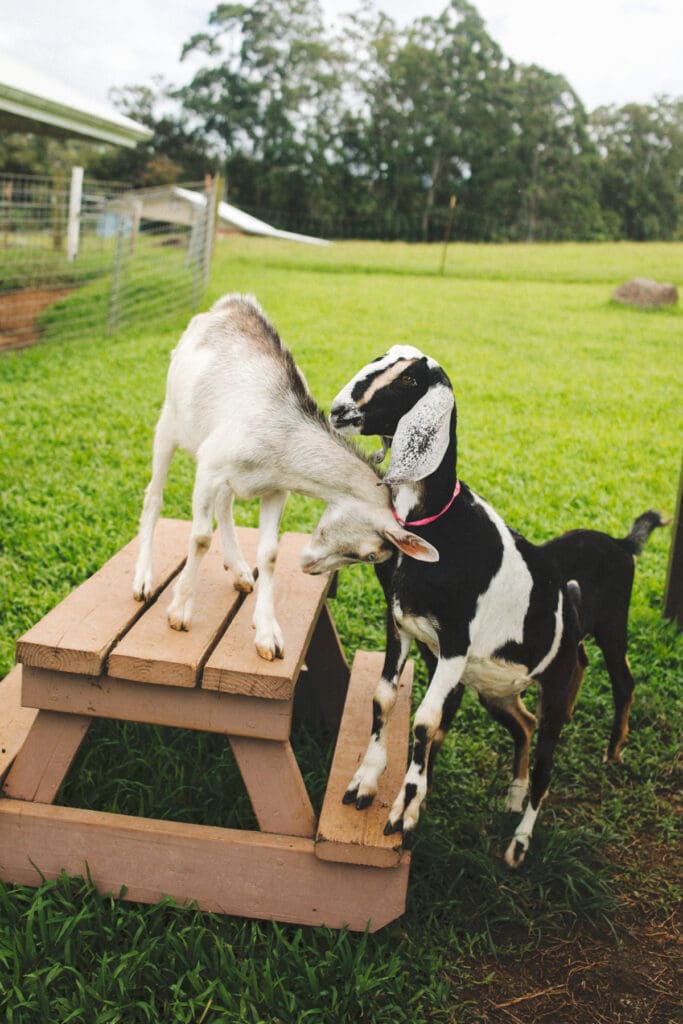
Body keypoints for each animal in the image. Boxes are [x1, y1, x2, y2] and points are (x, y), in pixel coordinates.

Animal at [133, 296, 437, 660]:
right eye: (370, 555)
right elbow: (201, 537)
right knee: (154, 494)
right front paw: (179, 612)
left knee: (225, 505)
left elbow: (270, 554)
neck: (283, 440)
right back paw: (142, 580)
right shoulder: (210, 465)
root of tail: (229, 303)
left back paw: (239, 570)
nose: (309, 568)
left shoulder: (275, 488)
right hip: (169, 421)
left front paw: (267, 635)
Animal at [302, 345, 584, 867]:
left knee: (546, 763)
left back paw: (519, 840)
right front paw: (365, 781)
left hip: (558, 686)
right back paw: (513, 793)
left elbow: (425, 723)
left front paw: (403, 811)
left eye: (411, 382)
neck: (437, 523)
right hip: (493, 688)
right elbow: (384, 698)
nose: (341, 410)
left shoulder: (455, 642)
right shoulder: (400, 625)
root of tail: (572, 609)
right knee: (523, 723)